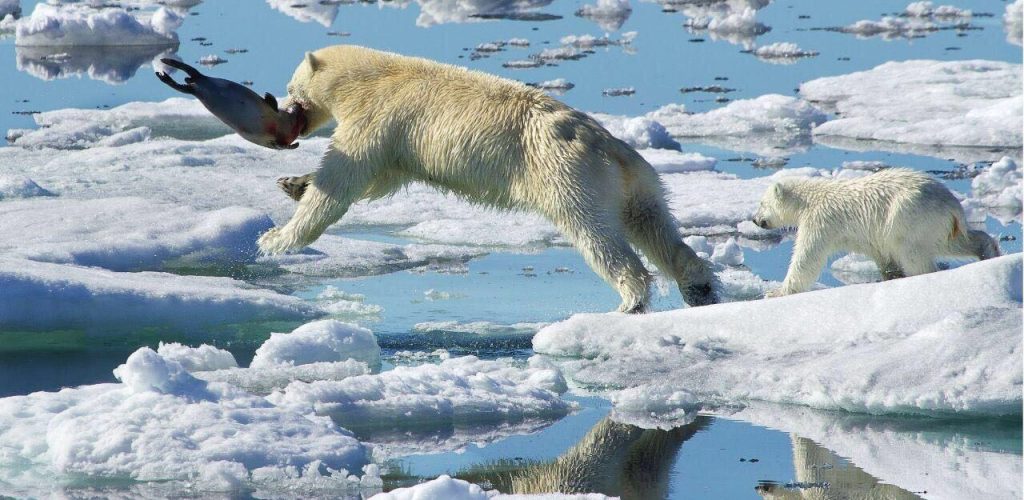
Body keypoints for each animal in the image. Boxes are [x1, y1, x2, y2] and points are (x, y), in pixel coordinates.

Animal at [258, 46, 720, 311]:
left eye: (291, 86)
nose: (284, 105)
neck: (372, 75)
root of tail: (611, 149)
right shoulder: (399, 141)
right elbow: (380, 178)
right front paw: (293, 183)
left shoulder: (377, 115)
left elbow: (344, 178)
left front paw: (275, 238)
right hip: (640, 184)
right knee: (655, 226)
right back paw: (700, 288)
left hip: (569, 176)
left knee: (599, 237)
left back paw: (630, 302)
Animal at [753, 168, 999, 297]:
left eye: (762, 203)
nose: (755, 220)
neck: (810, 199)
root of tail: (952, 204)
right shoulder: (868, 235)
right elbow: (882, 256)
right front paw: (890, 276)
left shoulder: (821, 220)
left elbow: (807, 257)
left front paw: (776, 292)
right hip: (939, 226)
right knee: (954, 242)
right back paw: (989, 252)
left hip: (909, 217)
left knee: (913, 253)